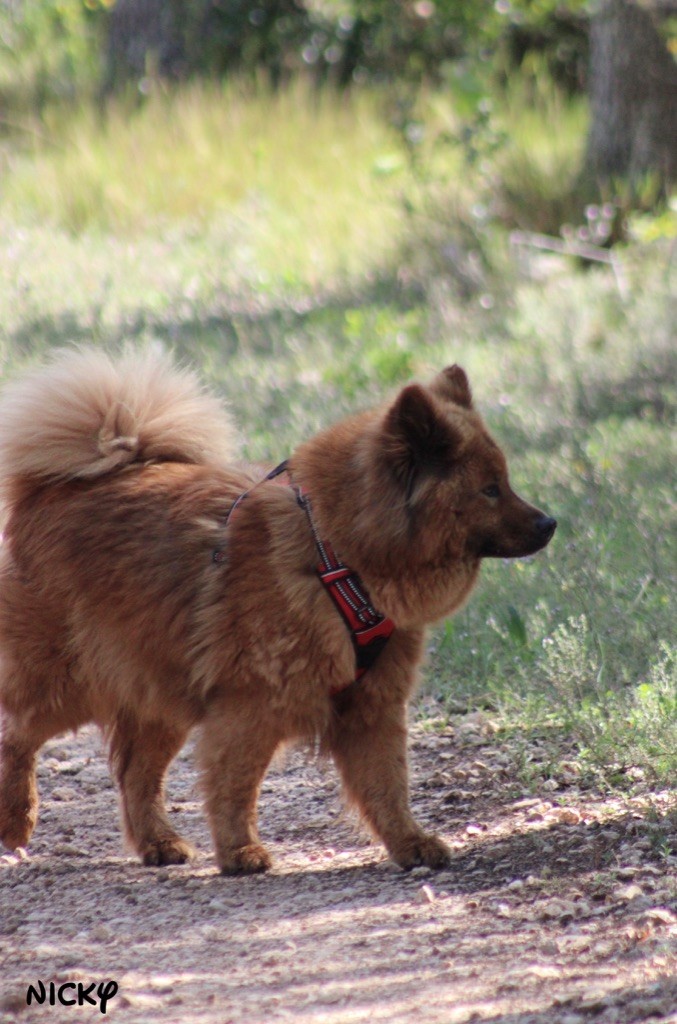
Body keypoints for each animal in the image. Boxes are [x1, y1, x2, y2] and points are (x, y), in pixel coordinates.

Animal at [0, 346, 553, 872]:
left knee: (136, 774)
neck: (336, 555)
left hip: (157, 686)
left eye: (505, 482)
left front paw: (409, 842)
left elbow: (388, 786)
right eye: (489, 489)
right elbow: (236, 785)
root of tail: (51, 491)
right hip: (71, 680)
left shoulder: (372, 705)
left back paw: (158, 843)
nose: (549, 523)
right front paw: (240, 851)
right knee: (17, 735)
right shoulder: (253, 705)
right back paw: (16, 819)